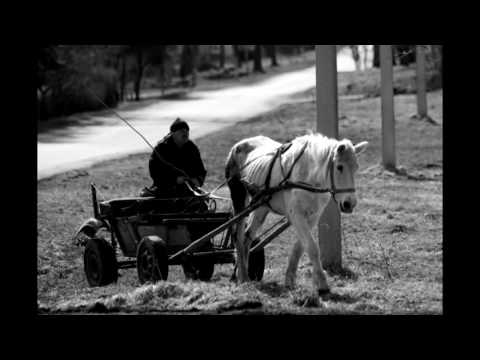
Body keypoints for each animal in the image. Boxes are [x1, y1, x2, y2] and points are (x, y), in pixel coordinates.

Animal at [225, 132, 368, 296]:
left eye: (356, 168)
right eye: (339, 167)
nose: (350, 204)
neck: (308, 176)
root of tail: (238, 145)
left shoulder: (312, 217)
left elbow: (299, 248)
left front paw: (290, 280)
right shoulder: (296, 215)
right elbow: (312, 247)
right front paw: (322, 285)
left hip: (261, 206)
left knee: (248, 237)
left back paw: (244, 273)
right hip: (239, 199)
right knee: (238, 236)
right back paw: (242, 276)